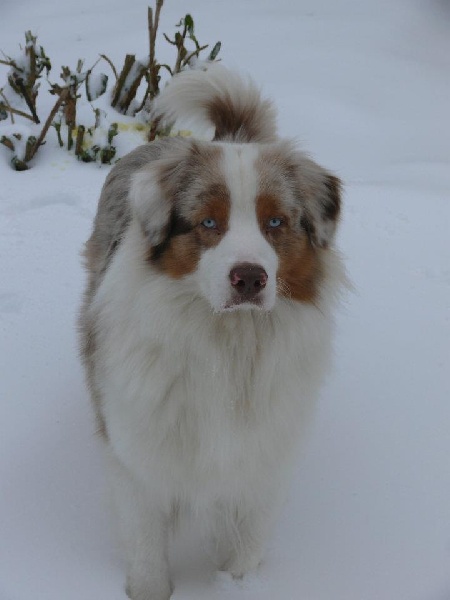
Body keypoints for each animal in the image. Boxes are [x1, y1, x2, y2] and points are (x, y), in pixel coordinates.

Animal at [78, 65, 344, 600]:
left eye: (275, 221)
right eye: (208, 222)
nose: (249, 278)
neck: (229, 345)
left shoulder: (260, 465)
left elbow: (244, 552)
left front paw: (234, 584)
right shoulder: (138, 460)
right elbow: (147, 558)